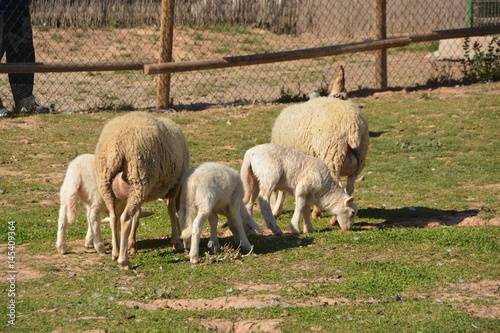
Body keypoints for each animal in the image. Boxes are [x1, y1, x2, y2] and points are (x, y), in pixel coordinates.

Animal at [94, 111, 189, 270]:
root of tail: (117, 144)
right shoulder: (175, 185)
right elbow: (171, 212)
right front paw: (177, 242)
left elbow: (137, 216)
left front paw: (132, 245)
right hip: (139, 179)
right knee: (125, 219)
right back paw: (124, 261)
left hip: (107, 182)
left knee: (114, 217)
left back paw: (116, 252)